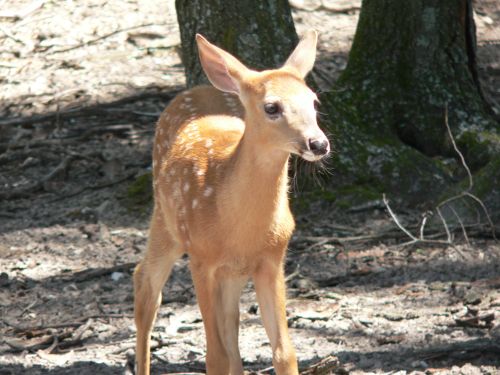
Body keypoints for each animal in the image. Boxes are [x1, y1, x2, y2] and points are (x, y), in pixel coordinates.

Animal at [133, 30, 330, 375]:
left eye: (314, 101)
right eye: (271, 106)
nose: (318, 143)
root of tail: (196, 88)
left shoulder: (272, 258)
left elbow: (284, 352)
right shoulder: (201, 257)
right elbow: (215, 356)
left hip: (231, 271)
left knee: (231, 321)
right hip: (167, 219)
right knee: (145, 284)